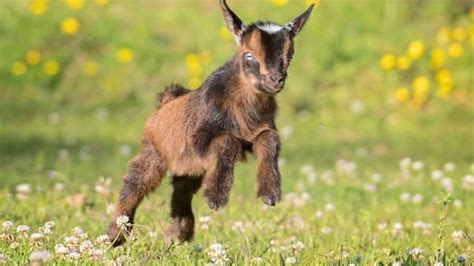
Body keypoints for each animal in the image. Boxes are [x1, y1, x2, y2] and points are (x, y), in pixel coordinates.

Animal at [107, 0, 314, 245]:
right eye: (249, 55)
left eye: (290, 56)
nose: (276, 80)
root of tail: (164, 102)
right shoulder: (200, 137)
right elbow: (227, 141)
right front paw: (216, 197)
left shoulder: (257, 132)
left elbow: (269, 138)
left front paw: (270, 194)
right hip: (154, 152)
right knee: (135, 181)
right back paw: (116, 235)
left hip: (191, 167)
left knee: (182, 189)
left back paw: (177, 234)